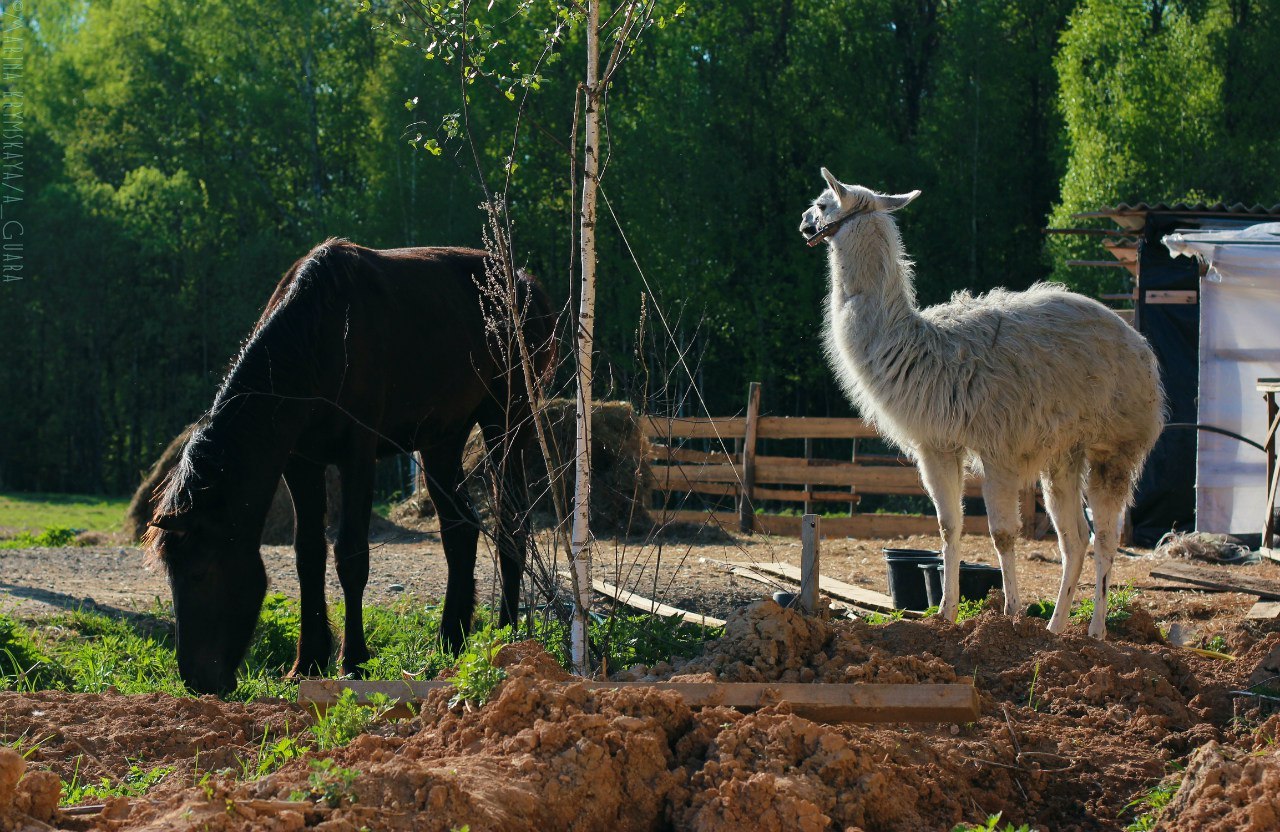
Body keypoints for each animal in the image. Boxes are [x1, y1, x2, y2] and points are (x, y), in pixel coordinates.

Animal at [144, 239, 555, 691]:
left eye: (200, 573)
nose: (197, 680)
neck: (317, 336)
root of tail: (527, 284)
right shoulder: (301, 463)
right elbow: (308, 556)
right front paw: (307, 661)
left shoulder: (357, 456)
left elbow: (351, 556)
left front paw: (353, 660)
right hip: (441, 441)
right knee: (459, 531)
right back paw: (450, 640)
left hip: (507, 422)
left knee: (511, 526)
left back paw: (507, 636)